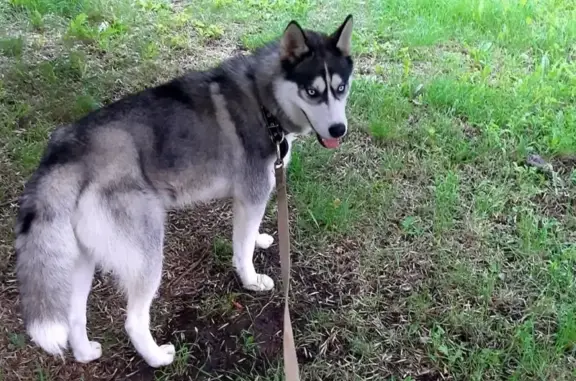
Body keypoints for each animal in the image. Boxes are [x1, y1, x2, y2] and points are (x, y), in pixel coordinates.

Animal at [13, 14, 354, 366]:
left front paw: (259, 238)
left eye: (340, 88)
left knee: (74, 315)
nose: (338, 130)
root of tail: (66, 148)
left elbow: (248, 235)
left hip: (80, 260)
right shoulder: (254, 192)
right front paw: (251, 280)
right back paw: (156, 358)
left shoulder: (246, 199)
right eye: (312, 91)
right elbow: (242, 250)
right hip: (148, 252)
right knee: (134, 320)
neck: (263, 99)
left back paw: (85, 353)